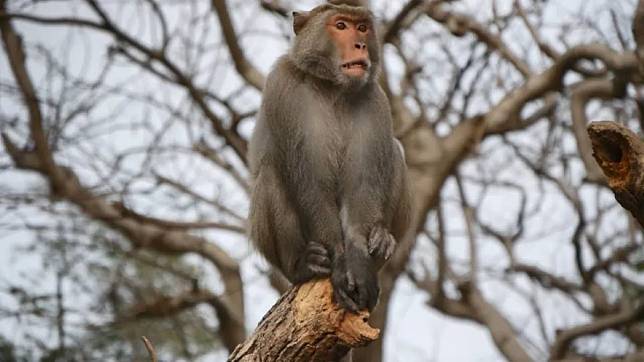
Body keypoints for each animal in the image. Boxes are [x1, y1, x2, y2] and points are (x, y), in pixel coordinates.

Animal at [249, 0, 410, 312]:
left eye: (362, 27)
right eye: (341, 26)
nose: (360, 44)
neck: (332, 86)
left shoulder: (374, 98)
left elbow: (362, 183)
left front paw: (358, 261)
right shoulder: (284, 88)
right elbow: (310, 181)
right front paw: (339, 262)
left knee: (395, 151)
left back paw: (382, 239)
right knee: (271, 173)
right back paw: (303, 265)